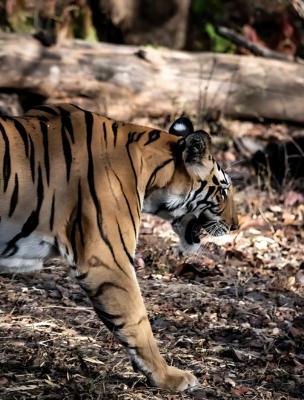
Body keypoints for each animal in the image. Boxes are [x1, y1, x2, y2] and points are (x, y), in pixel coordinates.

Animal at [0, 104, 238, 392]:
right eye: (223, 192)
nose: (236, 225)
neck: (151, 173)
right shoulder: (106, 259)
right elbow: (137, 320)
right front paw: (168, 376)